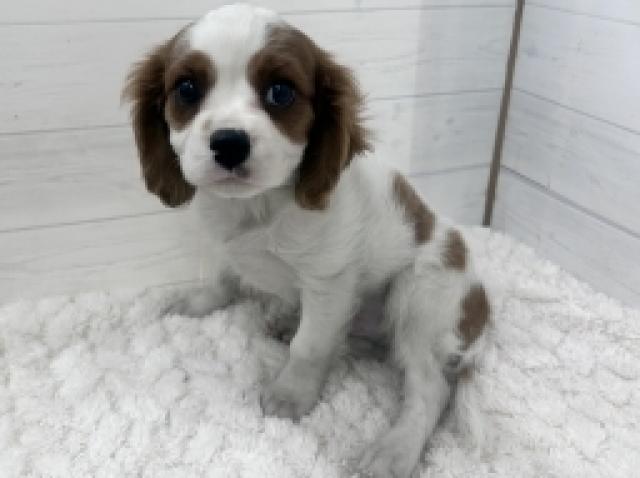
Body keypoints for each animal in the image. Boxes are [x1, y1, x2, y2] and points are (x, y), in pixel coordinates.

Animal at [123, 5, 489, 477]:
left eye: (280, 92)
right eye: (187, 89)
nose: (229, 142)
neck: (257, 206)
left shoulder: (328, 281)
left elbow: (311, 346)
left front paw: (291, 393)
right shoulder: (221, 240)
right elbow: (219, 276)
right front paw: (199, 302)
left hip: (421, 296)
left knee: (429, 390)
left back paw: (395, 450)